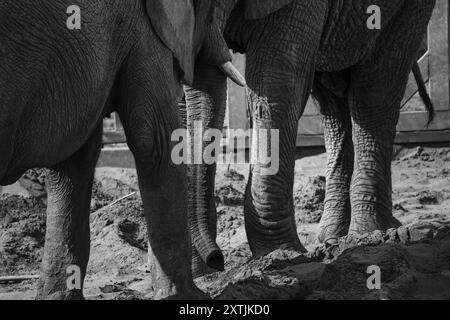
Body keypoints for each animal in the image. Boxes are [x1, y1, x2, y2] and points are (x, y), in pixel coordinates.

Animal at [183, 0, 436, 278]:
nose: (216, 259)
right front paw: (198, 272)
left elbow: (277, 82)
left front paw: (280, 255)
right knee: (333, 104)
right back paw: (333, 237)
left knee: (374, 91)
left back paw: (370, 233)